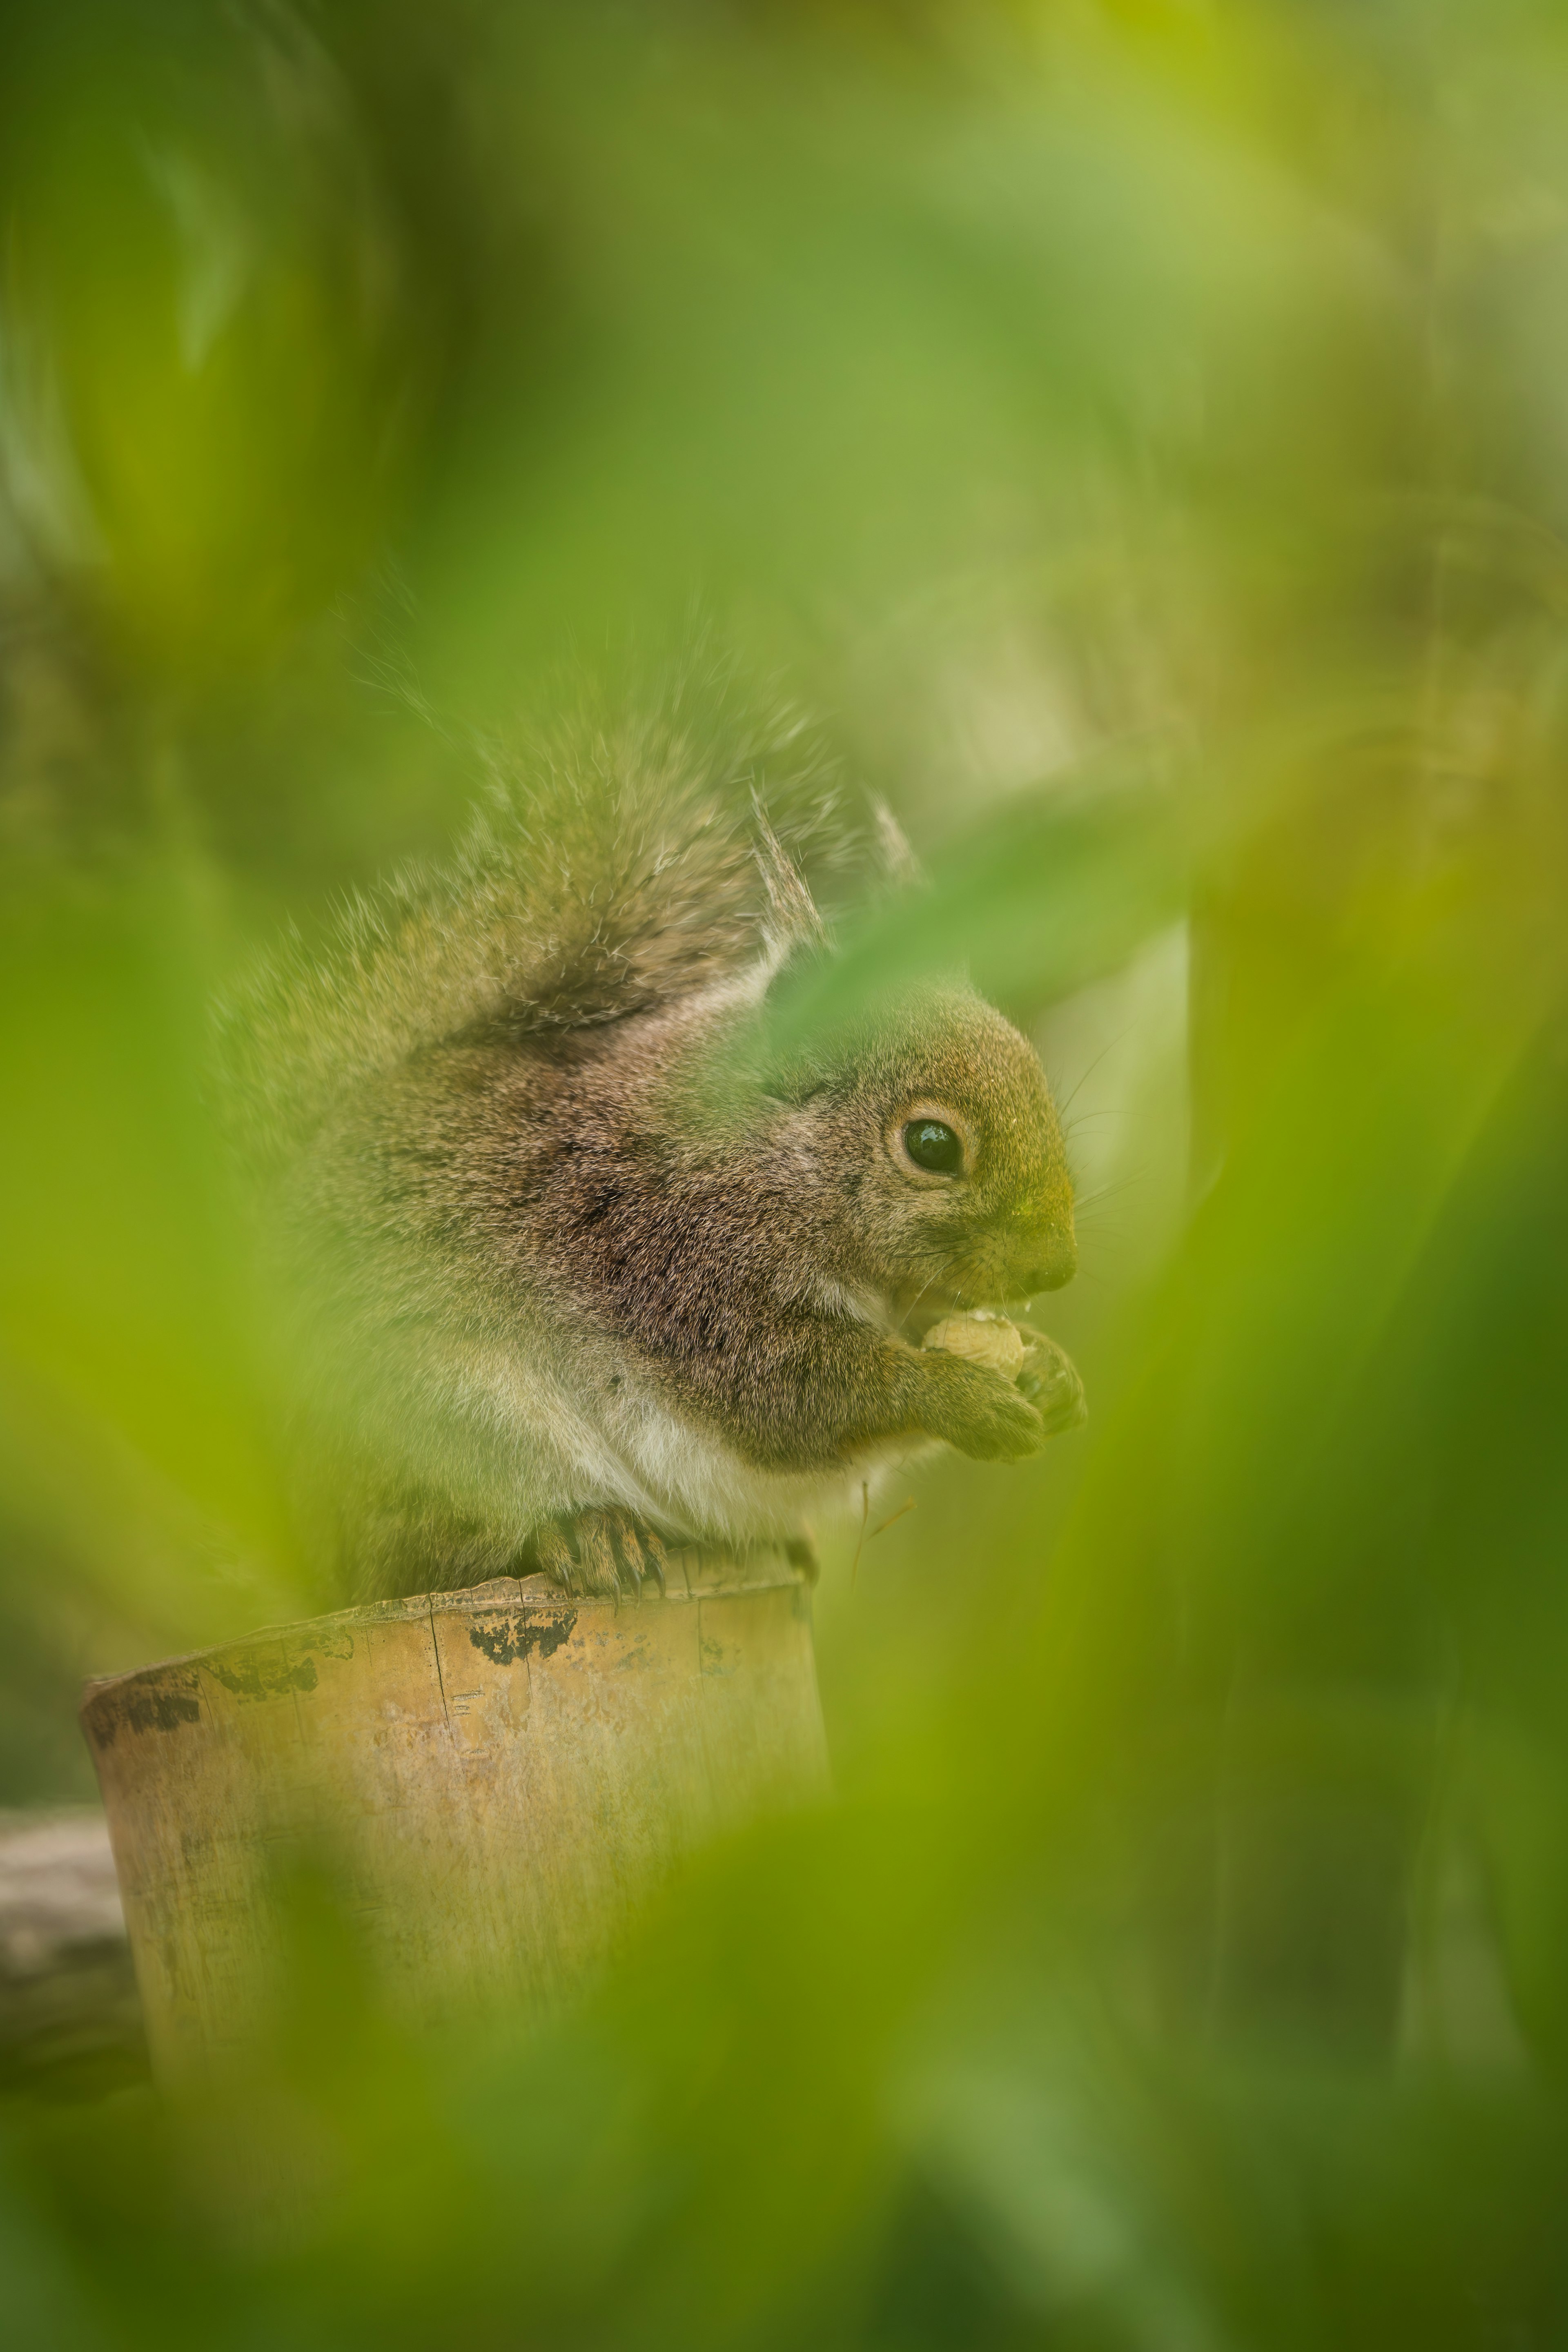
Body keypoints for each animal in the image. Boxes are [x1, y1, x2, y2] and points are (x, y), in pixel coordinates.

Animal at [223, 686, 1091, 1599]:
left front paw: (1049, 1372)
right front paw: (956, 1393)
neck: (772, 1159)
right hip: (443, 1424)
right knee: (441, 1551)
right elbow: (792, 1394)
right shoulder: (680, 1265)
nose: (1057, 1268)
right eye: (931, 1144)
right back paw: (587, 1535)